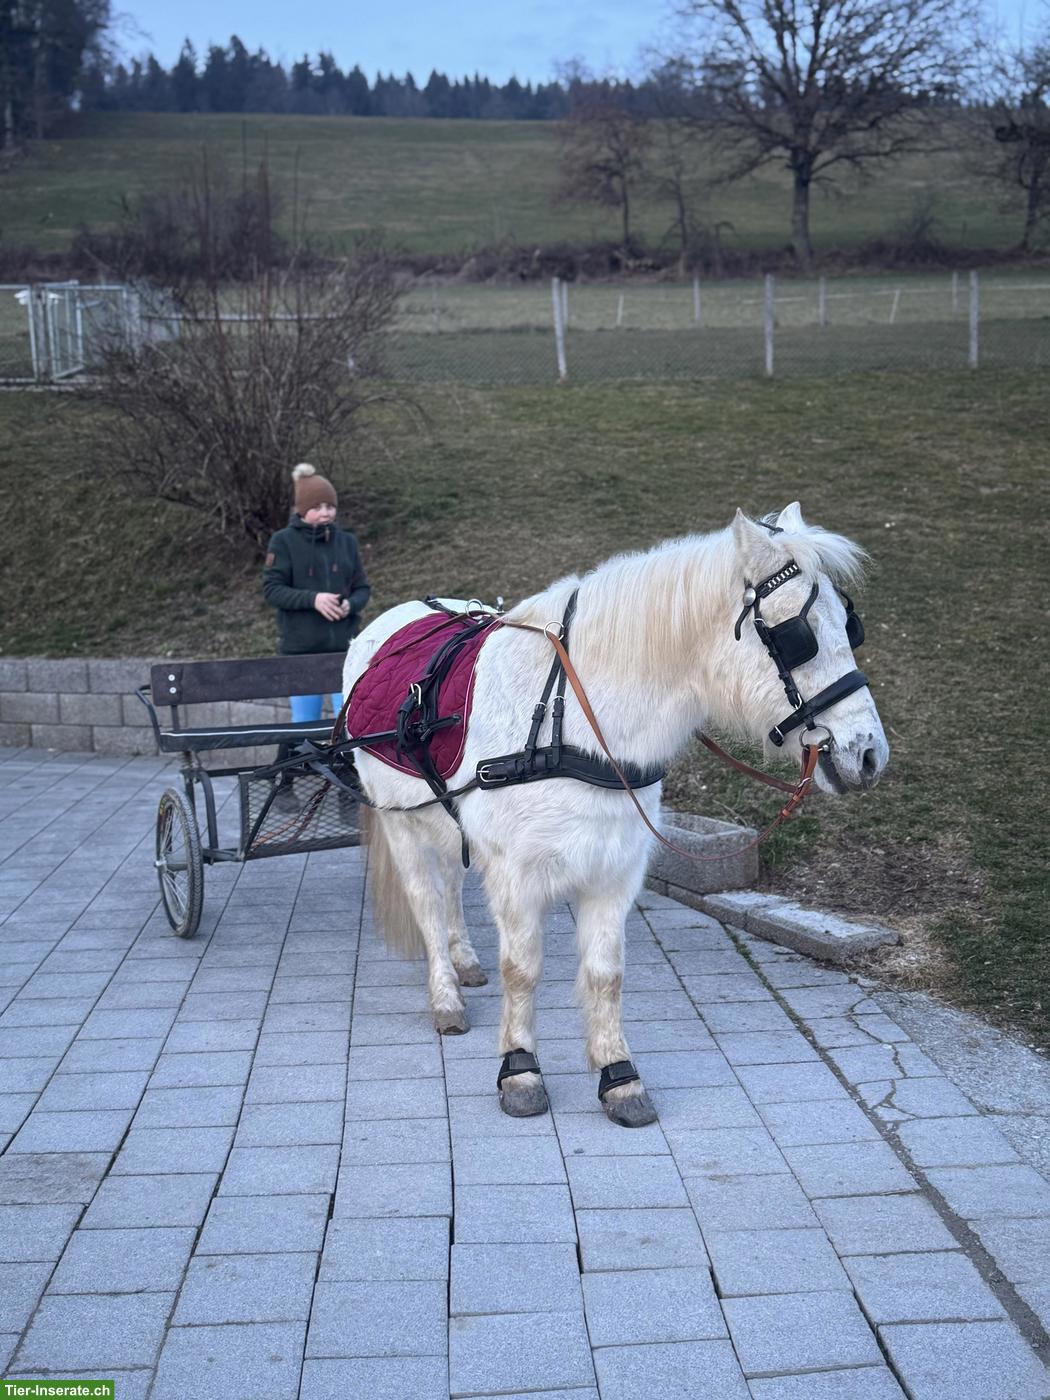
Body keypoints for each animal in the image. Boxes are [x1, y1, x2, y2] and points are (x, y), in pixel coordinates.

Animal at [341, 503, 889, 1127]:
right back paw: (445, 995)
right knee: (428, 903)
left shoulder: (614, 869)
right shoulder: (517, 874)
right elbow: (522, 969)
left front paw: (618, 1076)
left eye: (849, 626)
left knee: (453, 887)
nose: (869, 754)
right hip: (401, 822)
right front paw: (520, 1070)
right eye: (797, 636)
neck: (569, 721)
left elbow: (606, 974)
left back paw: (464, 961)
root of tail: (395, 617)